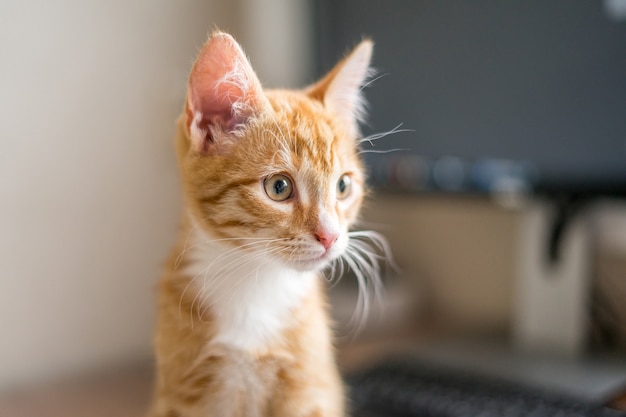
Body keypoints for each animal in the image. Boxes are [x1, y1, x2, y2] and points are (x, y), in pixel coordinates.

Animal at [150, 30, 386, 414]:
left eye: (343, 186)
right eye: (279, 187)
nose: (330, 236)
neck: (254, 282)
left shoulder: (308, 390)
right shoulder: (182, 395)